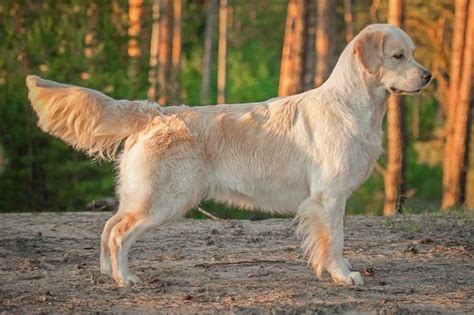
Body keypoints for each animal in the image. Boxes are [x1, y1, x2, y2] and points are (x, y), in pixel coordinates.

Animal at [26, 23, 434, 288]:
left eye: (413, 54)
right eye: (398, 56)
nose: (429, 76)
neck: (354, 105)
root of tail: (154, 112)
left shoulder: (330, 197)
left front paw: (342, 269)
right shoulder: (329, 196)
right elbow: (334, 239)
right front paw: (342, 275)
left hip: (142, 196)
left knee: (108, 226)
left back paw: (107, 273)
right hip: (164, 201)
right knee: (118, 233)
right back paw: (125, 278)